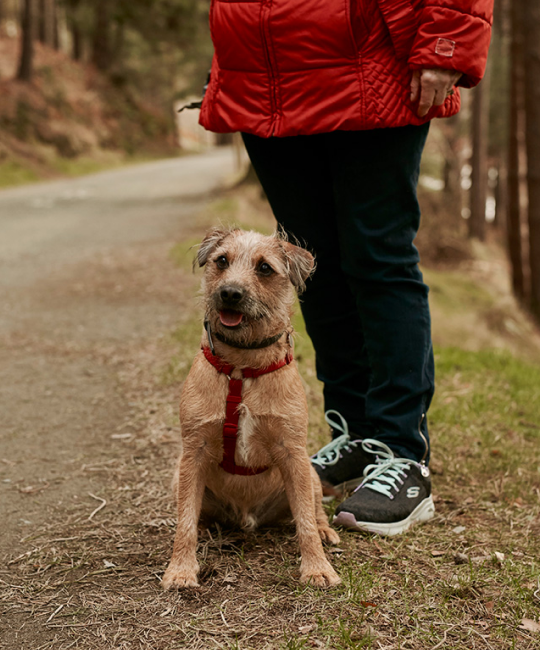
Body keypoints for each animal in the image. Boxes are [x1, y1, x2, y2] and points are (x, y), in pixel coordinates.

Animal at [162, 227, 342, 588]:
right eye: (221, 261)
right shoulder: (193, 452)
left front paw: (317, 567)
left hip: (310, 472)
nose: (230, 293)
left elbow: (305, 521)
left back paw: (325, 531)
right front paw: (181, 569)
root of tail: (247, 519)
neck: (242, 367)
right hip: (178, 476)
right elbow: (185, 521)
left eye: (264, 268)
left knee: (314, 510)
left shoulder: (293, 453)